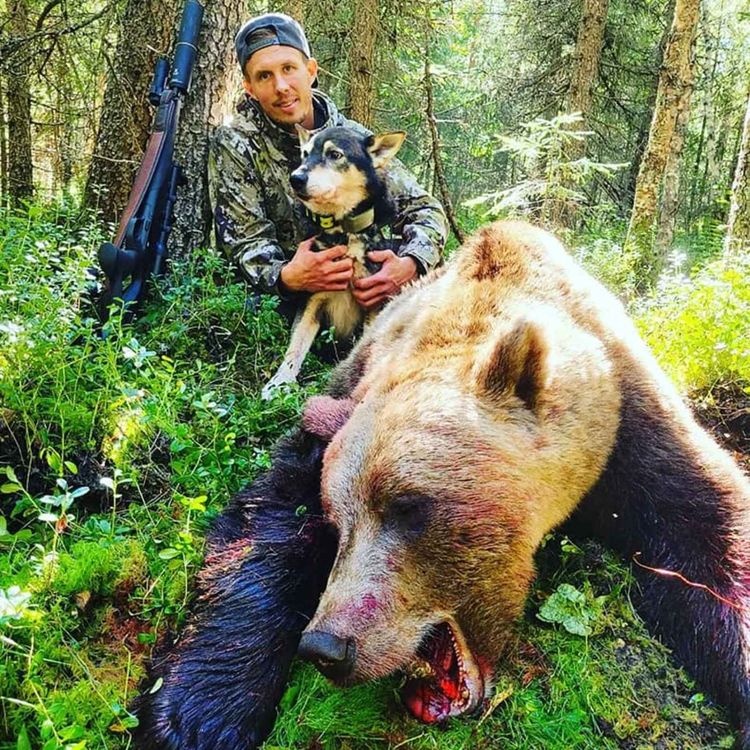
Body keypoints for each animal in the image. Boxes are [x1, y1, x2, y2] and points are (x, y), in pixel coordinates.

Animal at [262, 126, 408, 402]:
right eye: (305, 154)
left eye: (334, 154)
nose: (295, 178)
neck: (345, 232)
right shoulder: (312, 301)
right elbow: (295, 348)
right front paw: (279, 383)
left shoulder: (372, 304)